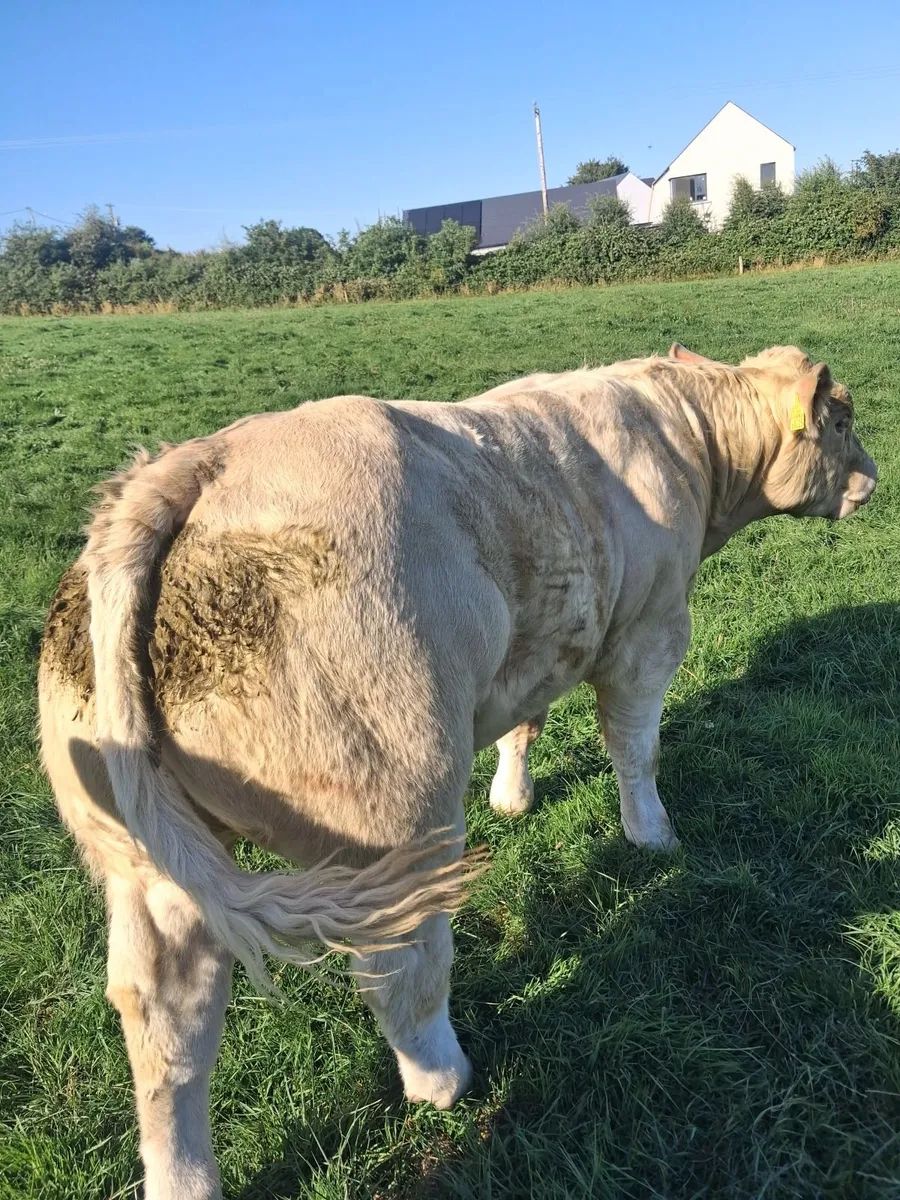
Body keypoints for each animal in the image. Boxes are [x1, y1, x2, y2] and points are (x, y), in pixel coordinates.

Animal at [38, 343, 876, 1199]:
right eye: (841, 420)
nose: (871, 480)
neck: (687, 437)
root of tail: (195, 463)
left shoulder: (542, 644)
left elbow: (526, 726)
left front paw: (513, 796)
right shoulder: (649, 629)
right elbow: (636, 746)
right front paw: (653, 835)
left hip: (149, 865)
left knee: (167, 1011)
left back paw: (185, 1175)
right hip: (394, 810)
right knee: (397, 963)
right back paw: (443, 1080)